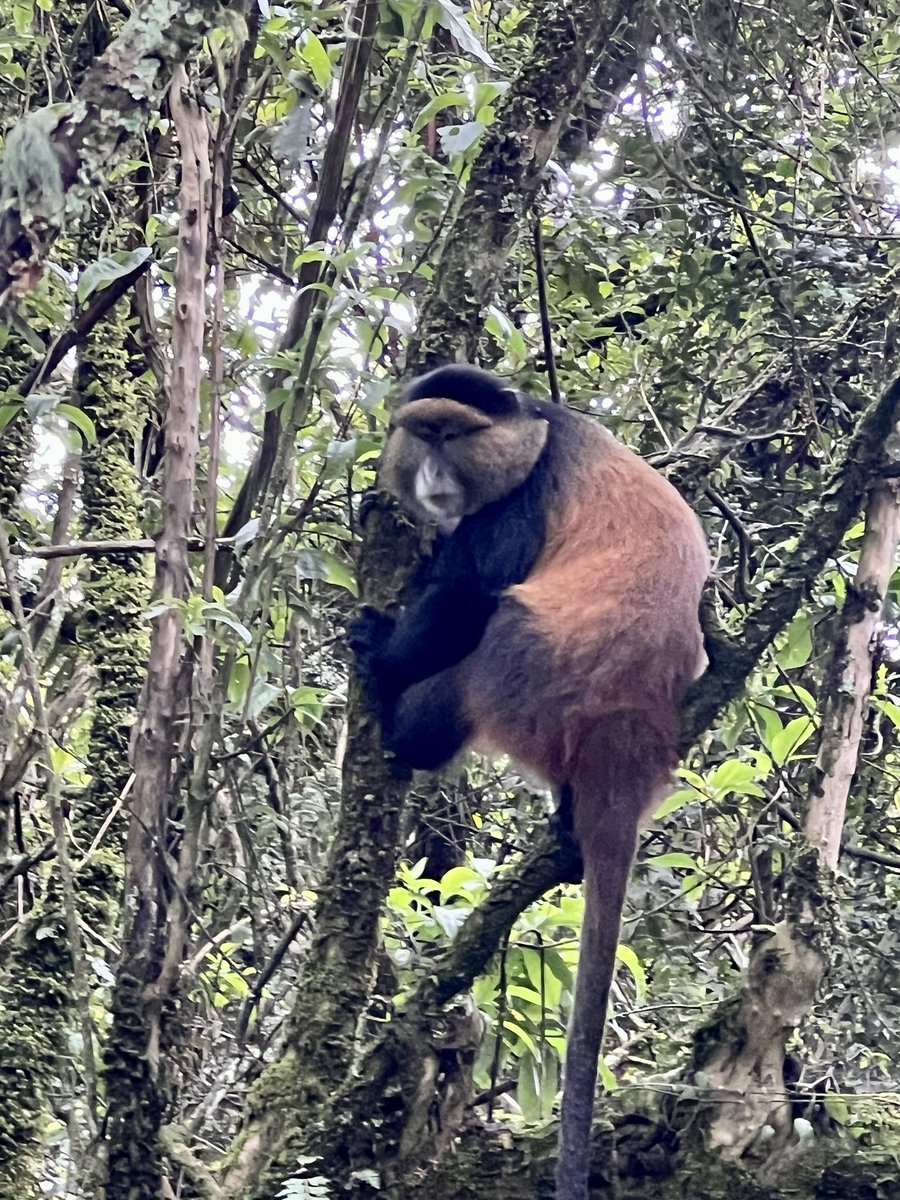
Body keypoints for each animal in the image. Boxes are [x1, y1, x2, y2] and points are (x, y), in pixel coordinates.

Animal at [349, 364, 709, 1200]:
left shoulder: (516, 510)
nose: (434, 481)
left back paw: (403, 722)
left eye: (454, 434)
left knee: (483, 636)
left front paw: (383, 648)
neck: (539, 431)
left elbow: (465, 594)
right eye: (422, 434)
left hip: (531, 671)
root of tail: (629, 730)